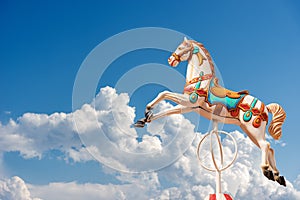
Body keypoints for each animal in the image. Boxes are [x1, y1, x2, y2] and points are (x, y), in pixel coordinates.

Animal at [135, 36, 288, 187]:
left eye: (180, 47)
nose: (170, 60)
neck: (200, 79)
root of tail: (265, 107)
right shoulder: (188, 106)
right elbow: (168, 110)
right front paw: (144, 119)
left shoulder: (189, 101)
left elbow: (164, 93)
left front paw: (148, 109)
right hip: (250, 131)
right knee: (270, 149)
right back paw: (277, 176)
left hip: (253, 129)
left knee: (265, 145)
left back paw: (266, 170)